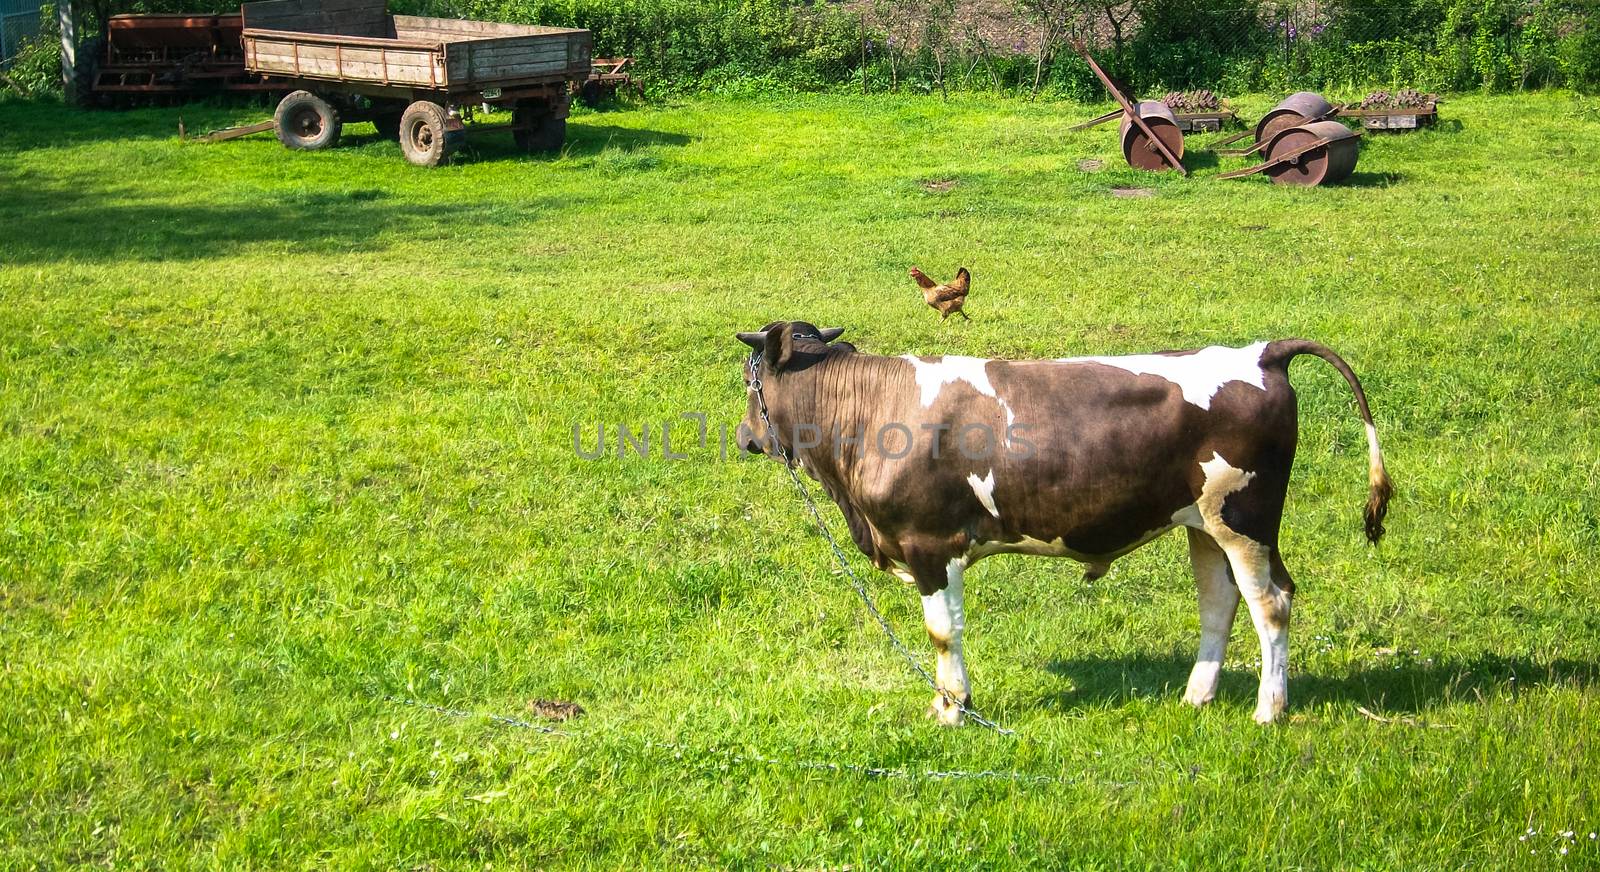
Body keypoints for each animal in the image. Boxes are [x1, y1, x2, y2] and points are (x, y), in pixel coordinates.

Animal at [732, 323, 1388, 723]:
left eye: (747, 378)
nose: (744, 437)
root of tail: (1261, 351)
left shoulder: (929, 544)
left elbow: (943, 632)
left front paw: (951, 709)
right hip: (1204, 524)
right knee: (1219, 603)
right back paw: (1196, 697)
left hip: (1244, 519)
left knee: (1271, 602)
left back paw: (1269, 709)